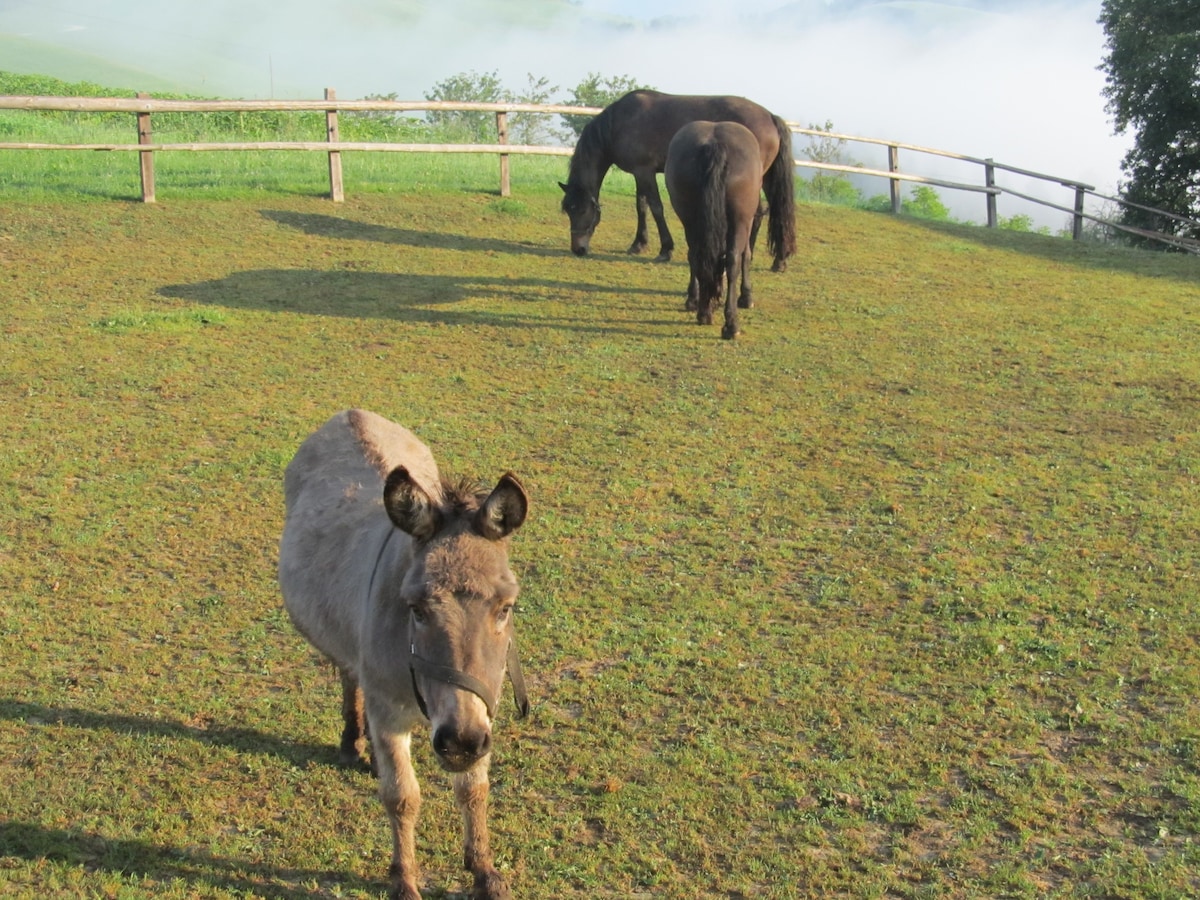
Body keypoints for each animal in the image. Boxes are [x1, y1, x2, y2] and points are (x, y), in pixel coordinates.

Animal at [280, 408, 530, 900]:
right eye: (415, 608)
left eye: (506, 607)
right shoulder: (392, 712)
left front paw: (484, 871)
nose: (459, 741)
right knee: (350, 676)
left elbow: (474, 789)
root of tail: (351, 412)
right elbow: (402, 796)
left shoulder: (483, 707)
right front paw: (405, 881)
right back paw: (354, 743)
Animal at [559, 90, 796, 271]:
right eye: (568, 211)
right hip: (765, 178)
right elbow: (641, 206)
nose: (578, 249)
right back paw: (770, 258)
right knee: (765, 211)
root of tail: (770, 117)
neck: (620, 122)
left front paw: (665, 249)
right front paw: (638, 244)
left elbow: (655, 207)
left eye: (582, 210)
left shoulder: (644, 171)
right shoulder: (639, 173)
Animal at [662, 121, 763, 340]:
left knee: (696, 256)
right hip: (740, 219)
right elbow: (746, 255)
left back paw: (702, 309)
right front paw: (746, 297)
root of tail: (714, 145)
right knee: (733, 260)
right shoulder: (747, 221)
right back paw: (731, 325)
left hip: (689, 218)